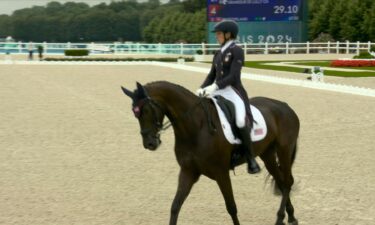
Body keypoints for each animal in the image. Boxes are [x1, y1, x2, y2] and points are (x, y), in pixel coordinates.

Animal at [122, 81, 302, 225]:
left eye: (145, 110)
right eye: (135, 113)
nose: (150, 144)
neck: (196, 127)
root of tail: (285, 106)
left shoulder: (221, 172)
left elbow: (231, 207)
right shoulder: (188, 171)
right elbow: (175, 206)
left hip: (284, 150)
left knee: (287, 182)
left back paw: (281, 218)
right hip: (268, 154)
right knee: (281, 181)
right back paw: (290, 217)